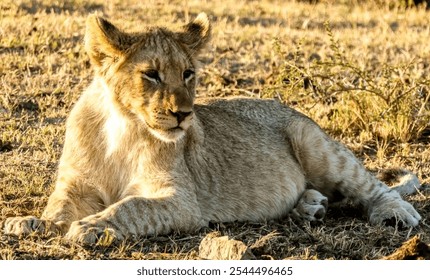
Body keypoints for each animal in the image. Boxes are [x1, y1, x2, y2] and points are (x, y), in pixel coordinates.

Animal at [3, 14, 420, 244]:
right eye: (151, 75)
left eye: (189, 73)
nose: (184, 115)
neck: (121, 127)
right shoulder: (77, 185)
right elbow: (58, 207)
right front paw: (32, 223)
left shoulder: (181, 200)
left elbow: (131, 206)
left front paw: (92, 226)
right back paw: (310, 207)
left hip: (317, 146)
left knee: (372, 185)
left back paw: (396, 214)